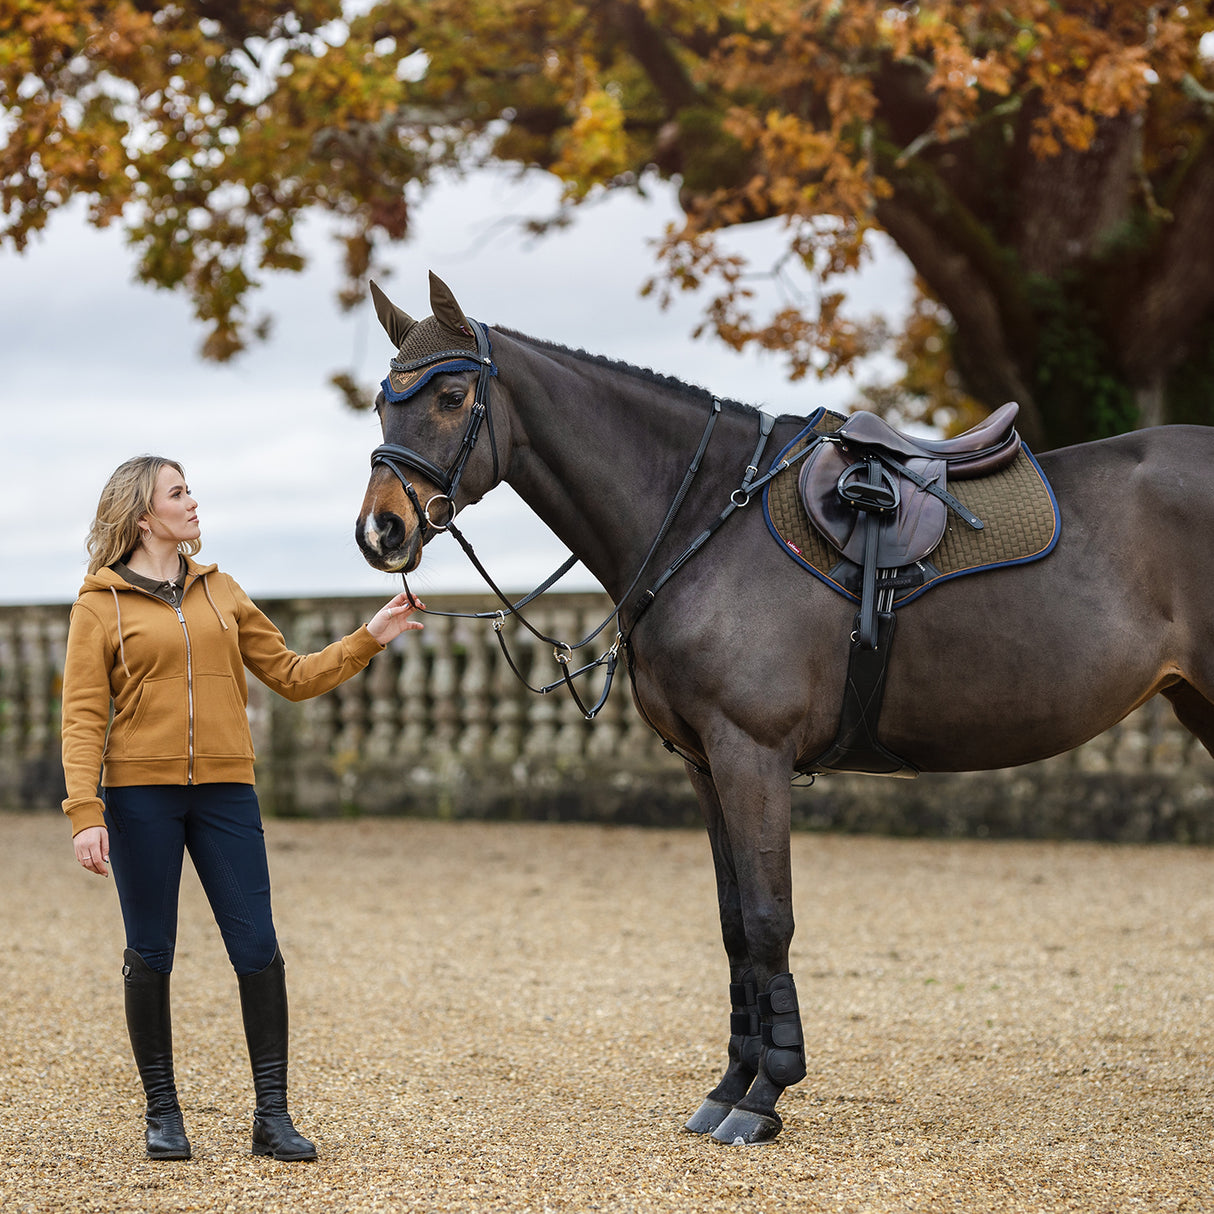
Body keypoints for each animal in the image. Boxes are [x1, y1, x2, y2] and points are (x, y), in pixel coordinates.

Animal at [354, 273, 1214, 1146]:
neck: (701, 516)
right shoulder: (704, 764)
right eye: (383, 403)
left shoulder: (751, 754)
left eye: (453, 394)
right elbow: (736, 925)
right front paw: (730, 1084)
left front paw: (766, 1093)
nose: (380, 530)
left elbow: (770, 919)